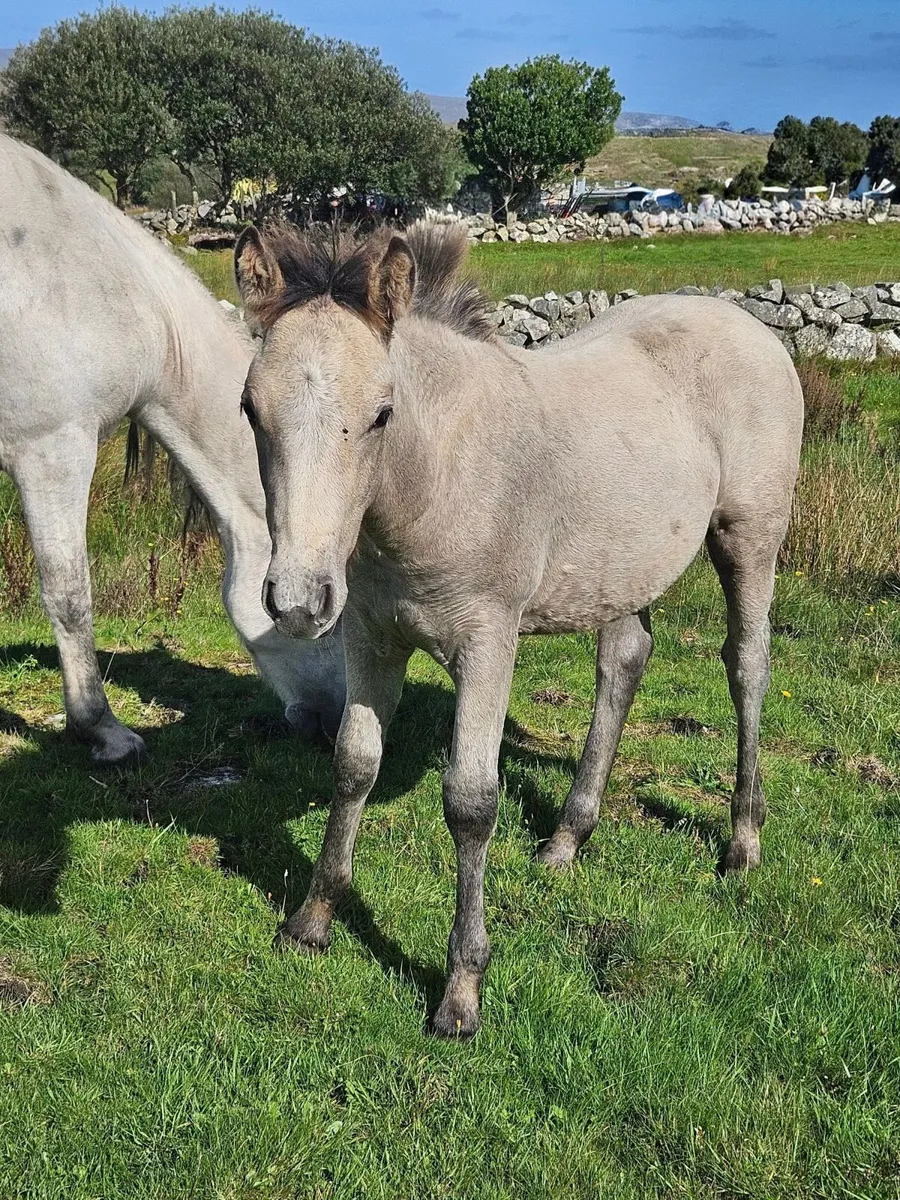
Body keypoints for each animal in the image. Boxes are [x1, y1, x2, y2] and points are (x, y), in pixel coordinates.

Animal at [233, 220, 803, 1037]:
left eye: (382, 413)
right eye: (251, 409)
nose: (299, 601)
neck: (438, 477)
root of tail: (749, 323)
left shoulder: (487, 643)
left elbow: (471, 801)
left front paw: (461, 990)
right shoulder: (372, 635)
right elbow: (353, 765)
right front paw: (312, 921)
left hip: (749, 537)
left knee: (747, 667)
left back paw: (743, 842)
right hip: (621, 565)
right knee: (625, 662)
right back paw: (567, 838)